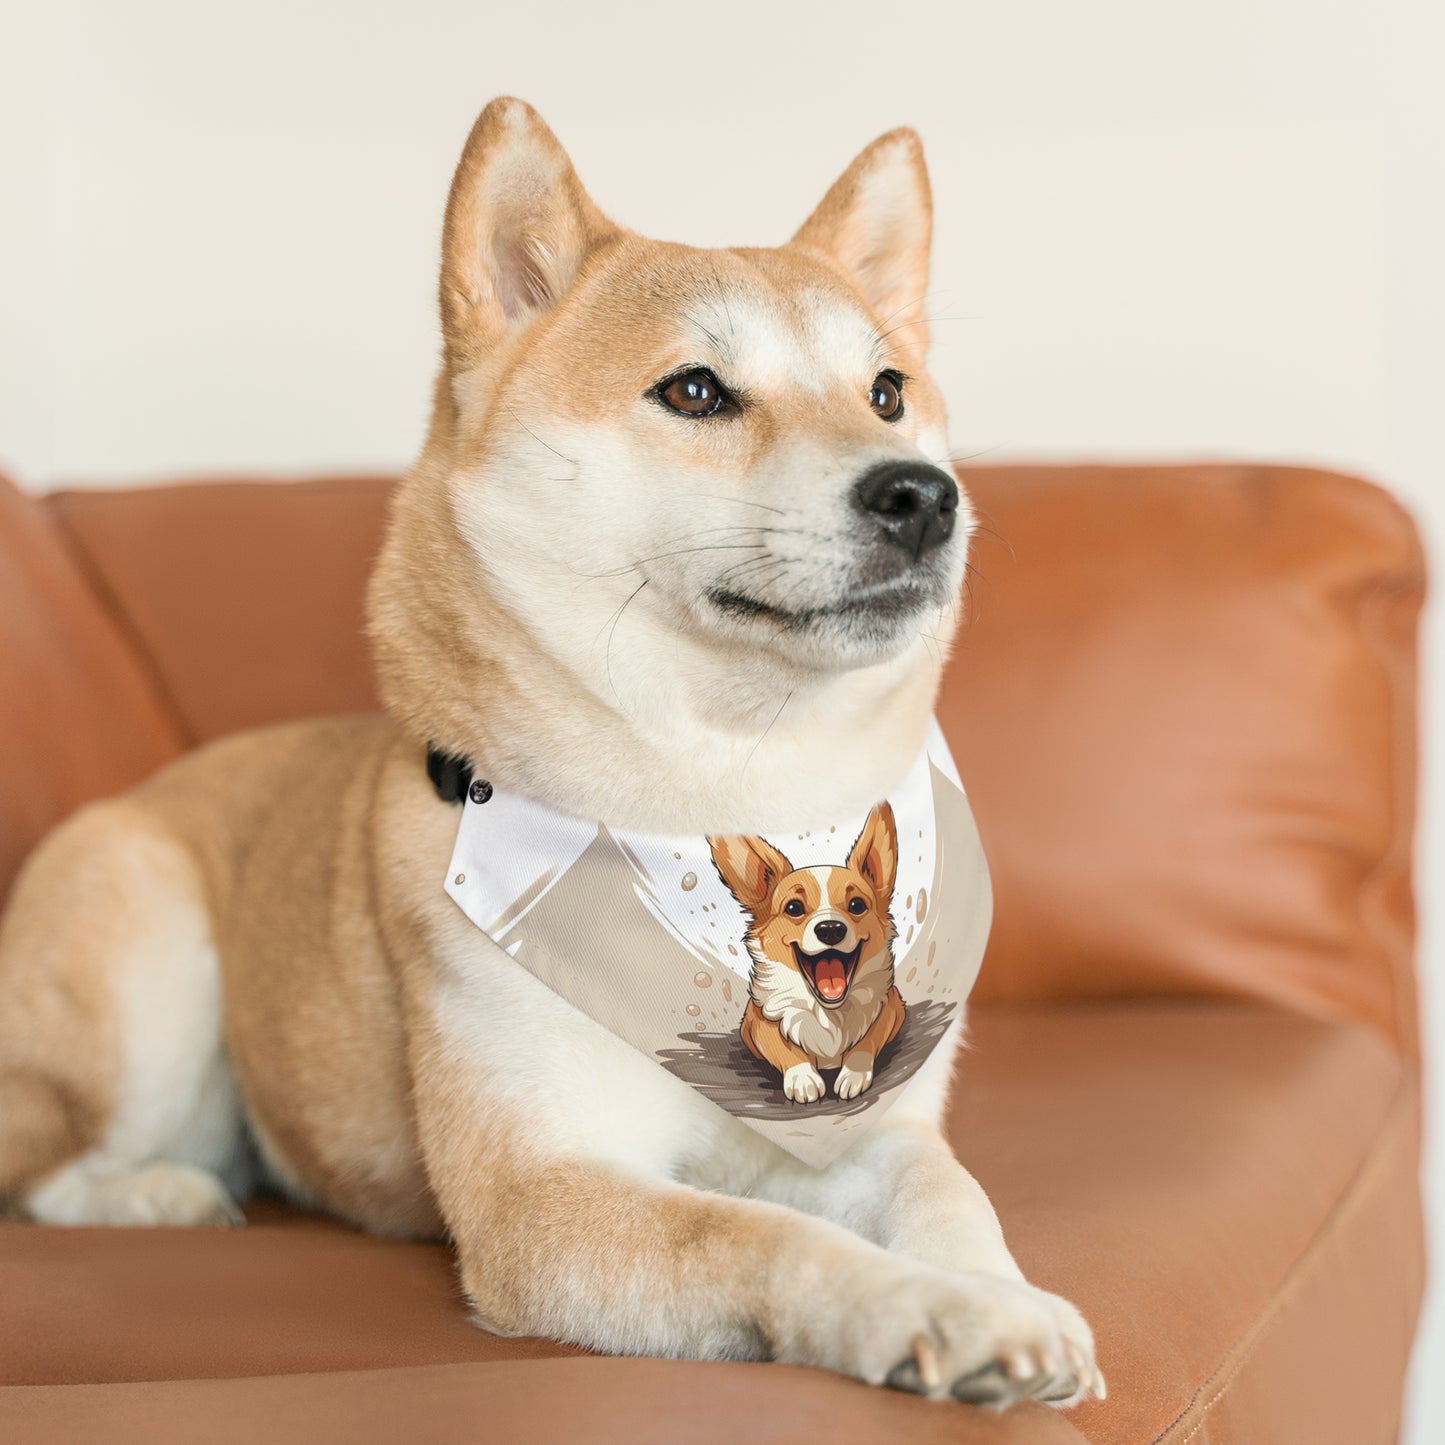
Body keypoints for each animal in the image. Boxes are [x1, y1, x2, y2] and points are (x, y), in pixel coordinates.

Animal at [710, 803, 901, 1092]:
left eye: (857, 905)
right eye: (794, 908)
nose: (831, 929)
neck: (828, 1012)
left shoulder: (891, 1006)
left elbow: (867, 1039)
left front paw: (854, 1073)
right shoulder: (757, 1022)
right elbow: (784, 1047)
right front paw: (803, 1077)